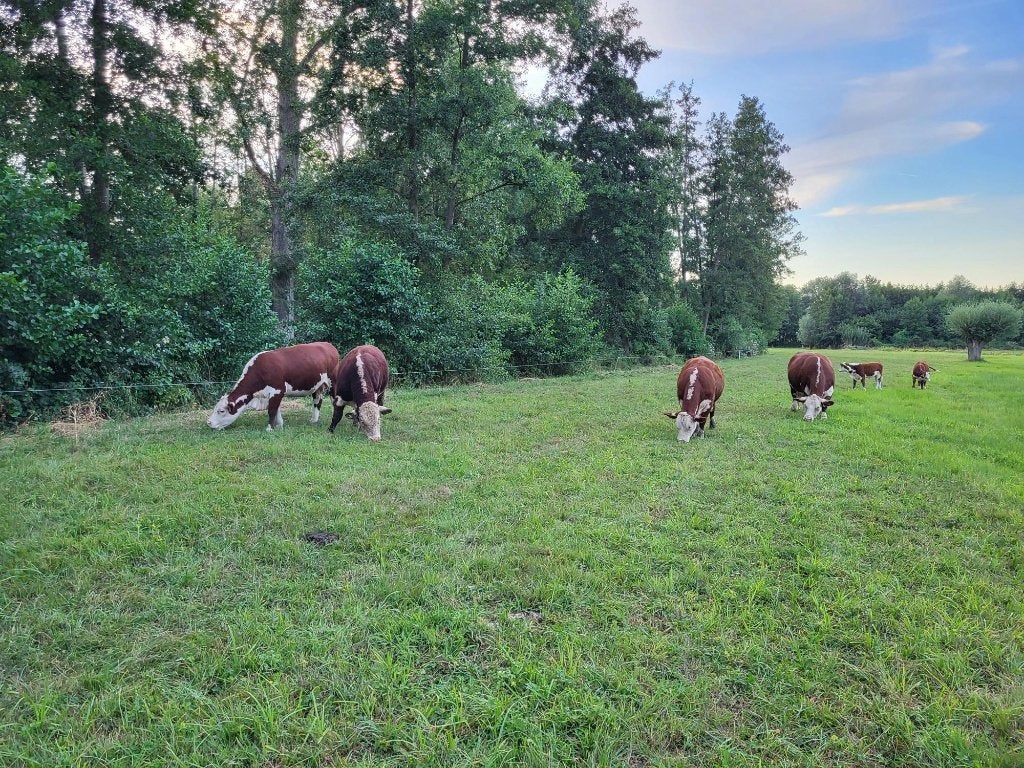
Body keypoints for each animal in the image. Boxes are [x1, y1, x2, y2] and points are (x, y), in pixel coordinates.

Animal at [208, 342, 340, 431]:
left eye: (221, 411)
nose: (208, 422)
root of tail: (327, 344)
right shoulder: (274, 393)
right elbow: (277, 410)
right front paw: (279, 425)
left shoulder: (277, 390)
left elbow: (271, 411)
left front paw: (269, 428)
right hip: (317, 386)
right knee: (317, 401)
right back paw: (314, 420)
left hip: (332, 382)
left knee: (334, 400)